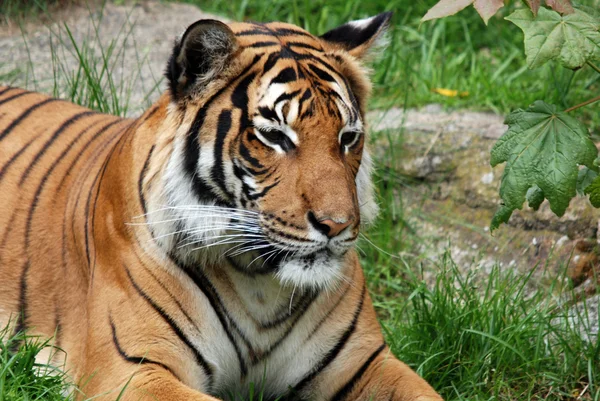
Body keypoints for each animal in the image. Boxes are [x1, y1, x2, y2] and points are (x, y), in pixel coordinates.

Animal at [0, 11, 440, 400]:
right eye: (275, 136)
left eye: (348, 137)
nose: (337, 225)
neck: (260, 283)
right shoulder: (131, 371)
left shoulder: (364, 361)